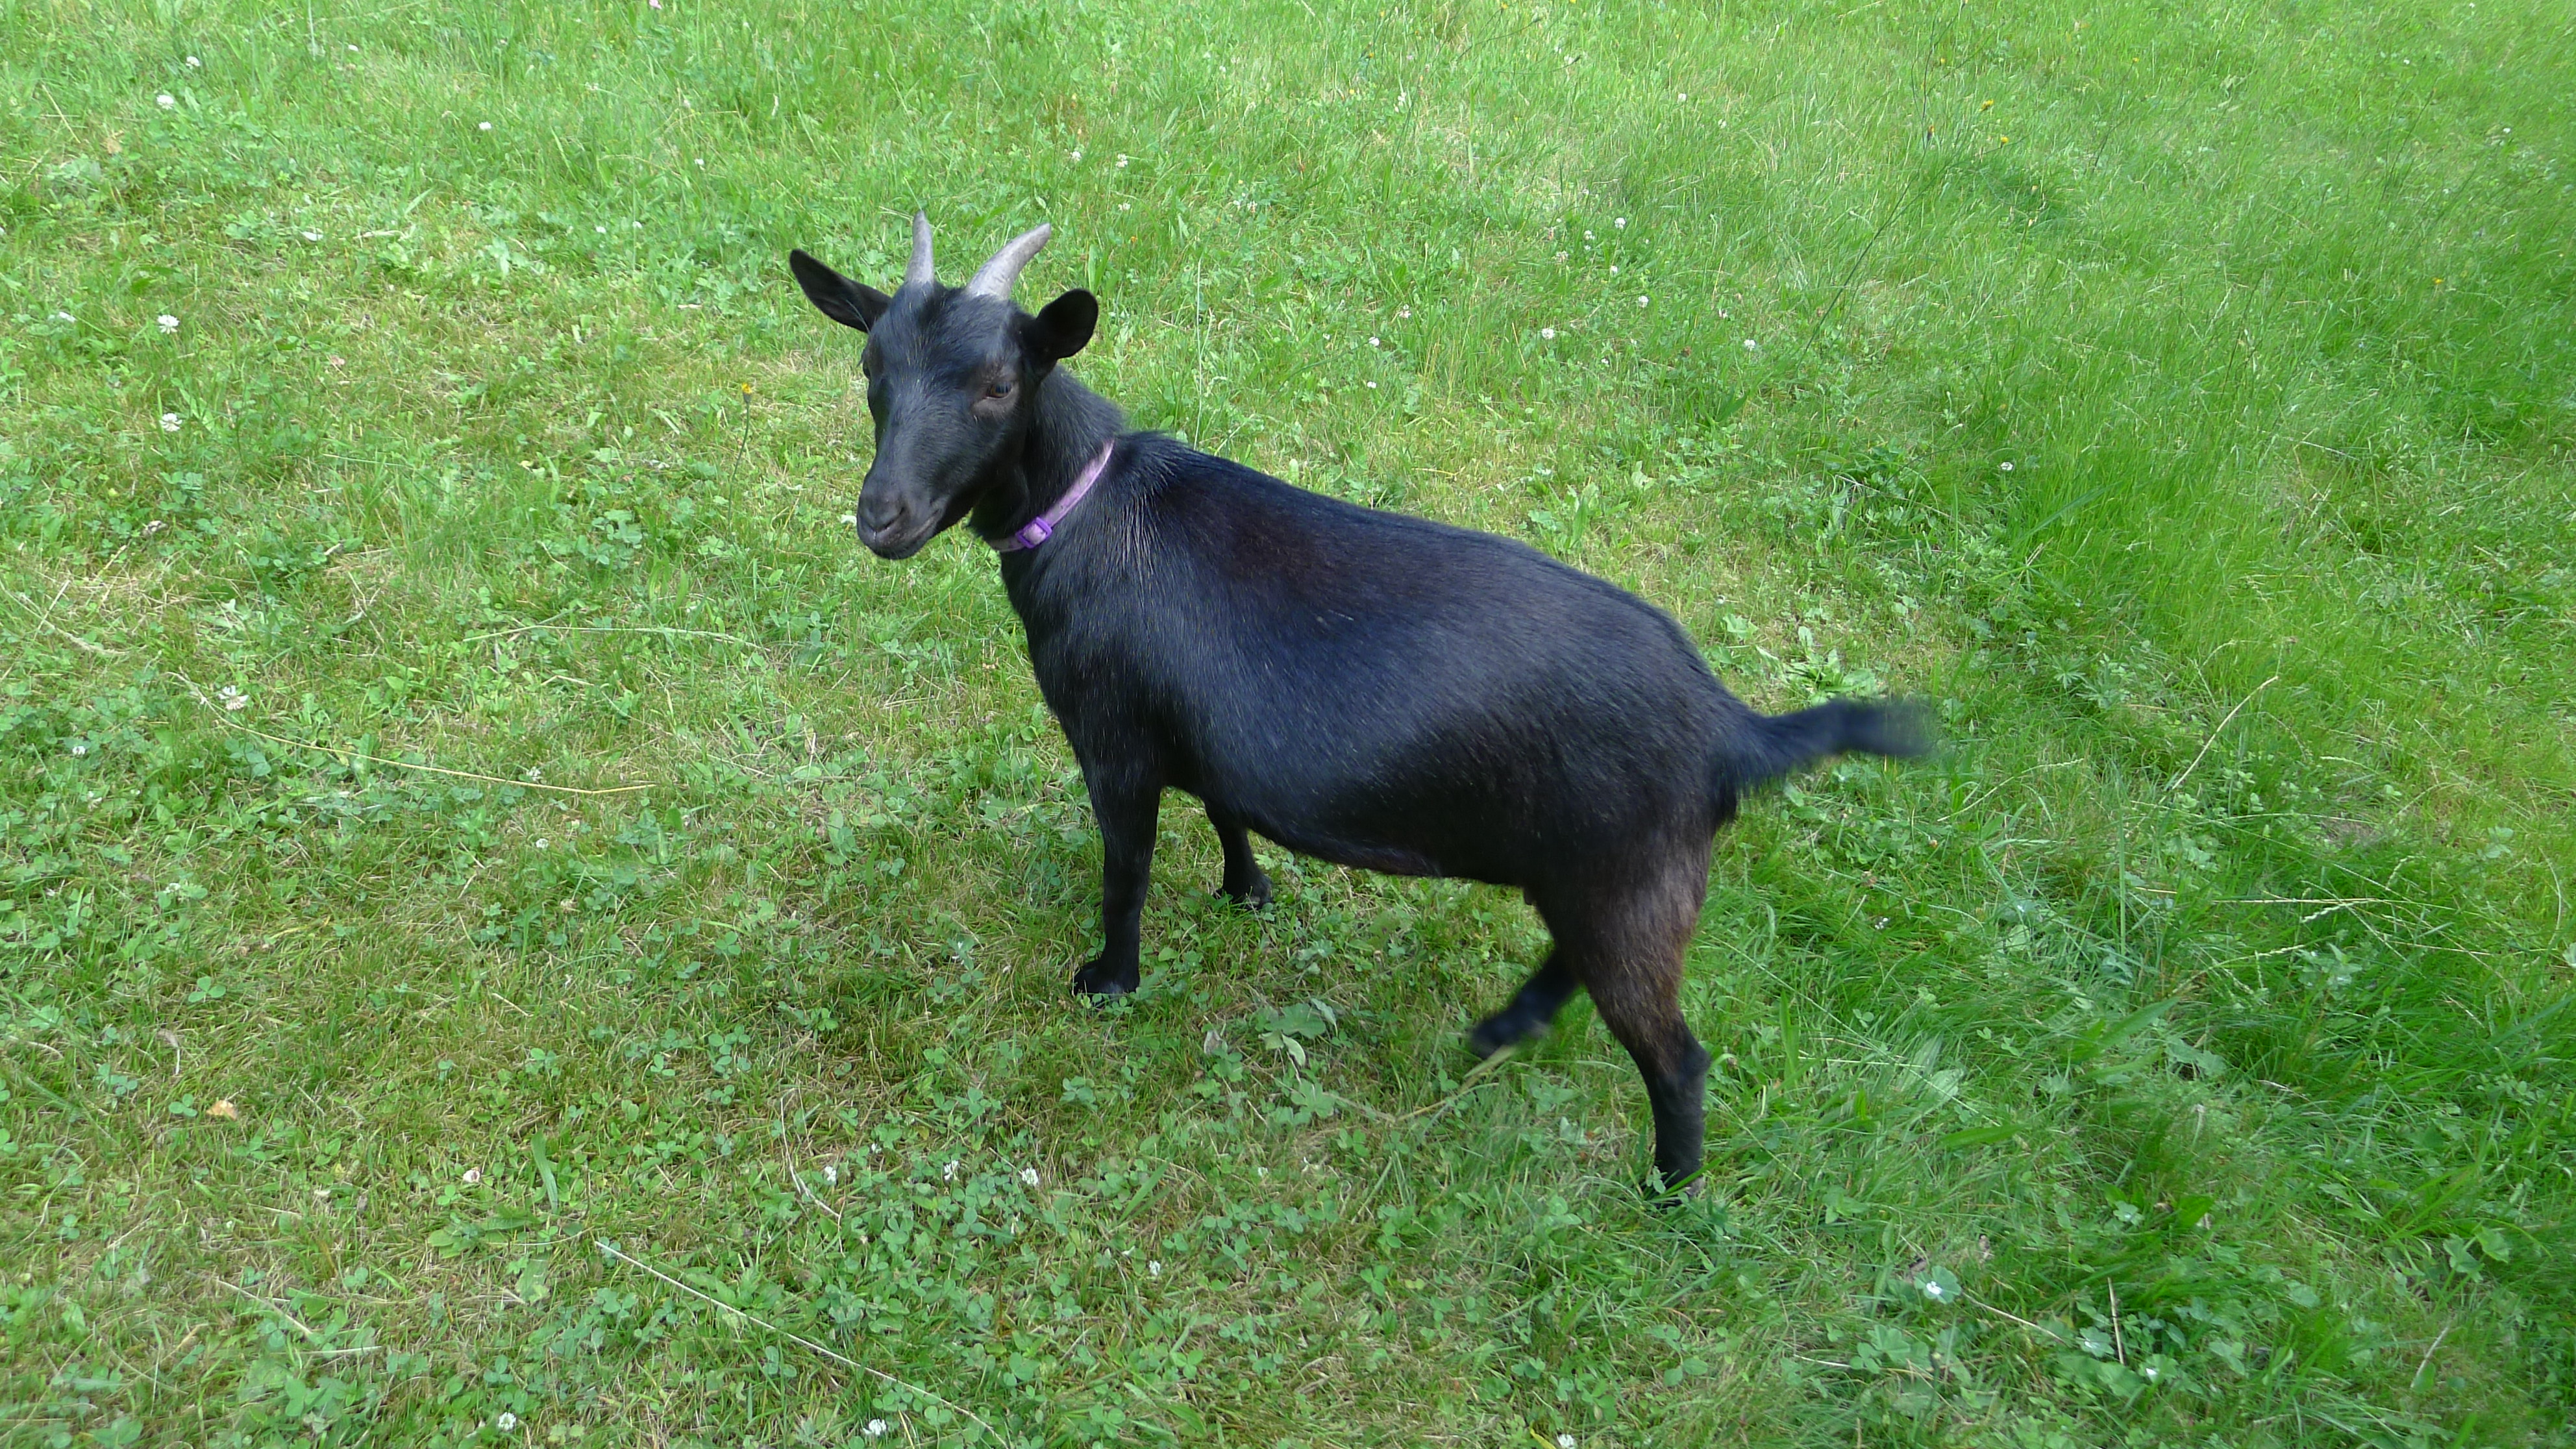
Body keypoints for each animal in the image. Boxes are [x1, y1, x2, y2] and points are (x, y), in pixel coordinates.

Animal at [788, 215, 1929, 1192]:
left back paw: (1669, 1191)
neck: (1086, 508)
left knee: (1676, 1053)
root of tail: (1737, 731)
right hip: (1593, 873)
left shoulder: (1114, 743)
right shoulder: (1205, 734)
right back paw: (1503, 1032)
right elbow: (1228, 806)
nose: (882, 518)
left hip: (1634, 877)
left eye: (996, 384)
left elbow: (1127, 873)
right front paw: (1247, 891)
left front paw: (1110, 980)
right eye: (870, 369)